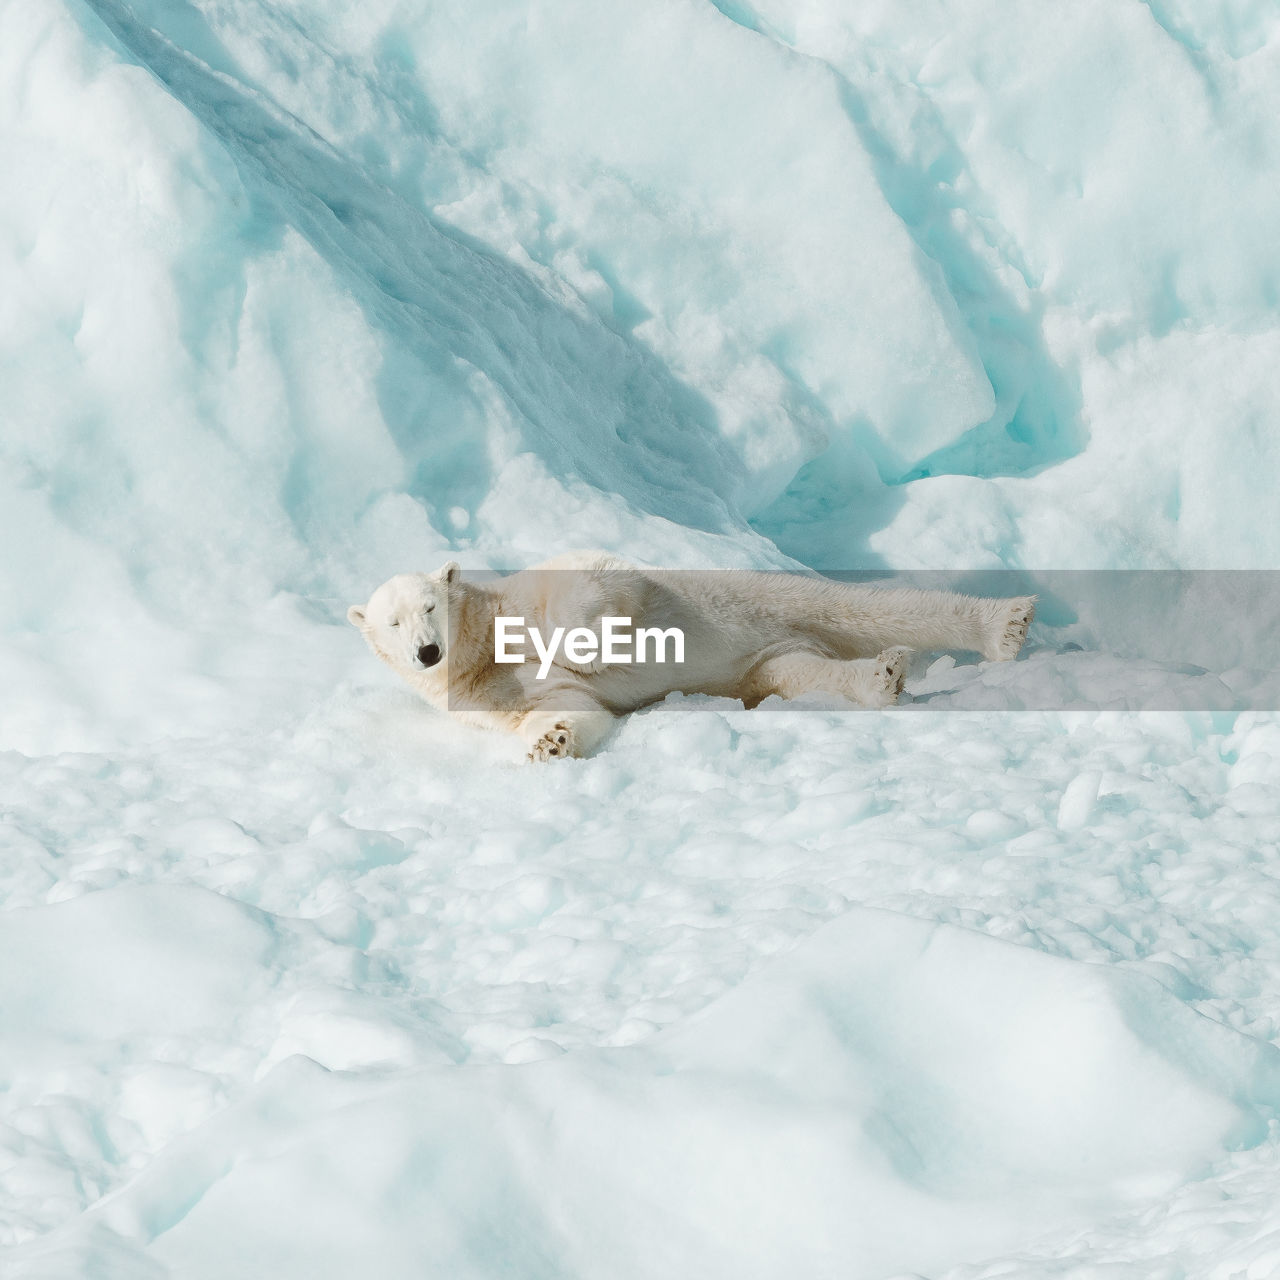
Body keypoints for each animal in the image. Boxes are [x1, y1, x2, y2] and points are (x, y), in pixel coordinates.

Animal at [345, 550, 1034, 757]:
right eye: (392, 622)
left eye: (430, 606)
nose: (427, 653)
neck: (482, 645)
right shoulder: (484, 694)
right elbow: (568, 706)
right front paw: (549, 742)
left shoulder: (537, 589)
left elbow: (593, 581)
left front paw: (584, 649)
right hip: (764, 663)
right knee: (801, 670)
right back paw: (883, 675)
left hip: (764, 597)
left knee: (867, 607)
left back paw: (1006, 622)